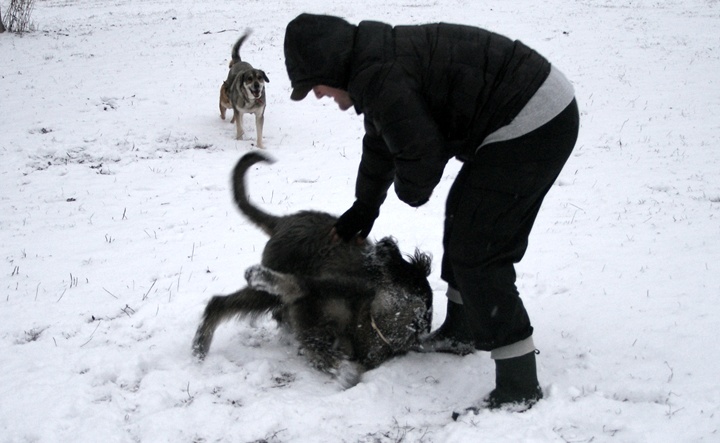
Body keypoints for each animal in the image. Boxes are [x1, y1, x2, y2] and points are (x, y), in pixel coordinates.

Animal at [192, 151, 433, 388]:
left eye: (400, 268)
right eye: (407, 265)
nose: (387, 242)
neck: (371, 318)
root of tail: (283, 222)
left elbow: (323, 352)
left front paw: (344, 372)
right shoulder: (320, 288)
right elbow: (295, 288)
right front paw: (259, 275)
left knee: (235, 306)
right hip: (269, 293)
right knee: (221, 303)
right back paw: (200, 348)